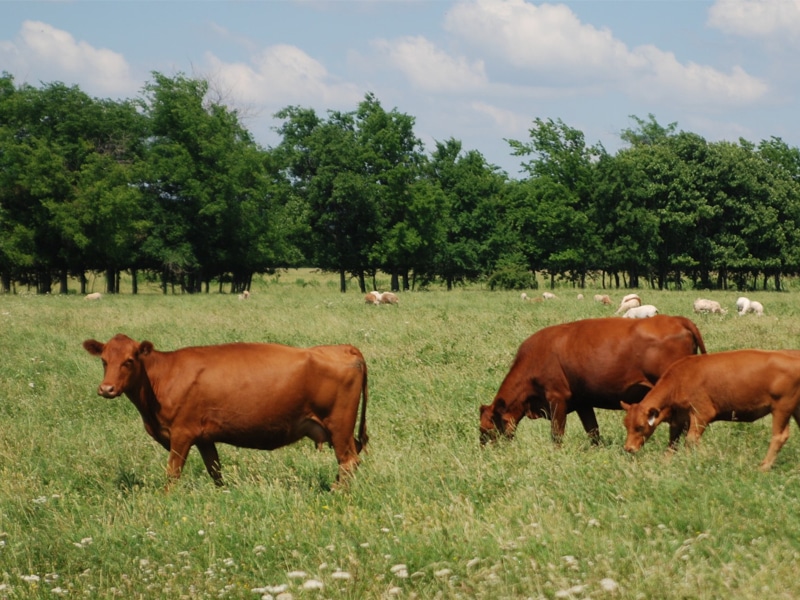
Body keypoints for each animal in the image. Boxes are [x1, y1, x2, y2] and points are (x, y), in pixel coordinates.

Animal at [83, 334, 369, 488]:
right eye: (104, 361)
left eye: (129, 361)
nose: (106, 388)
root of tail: (344, 348)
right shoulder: (204, 437)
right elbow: (215, 470)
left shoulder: (182, 433)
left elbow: (173, 472)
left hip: (340, 425)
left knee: (348, 461)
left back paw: (337, 492)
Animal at [479, 315, 706, 446]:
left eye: (488, 430)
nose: (485, 451)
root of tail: (676, 319)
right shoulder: (583, 402)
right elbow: (593, 431)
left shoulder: (557, 398)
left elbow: (557, 434)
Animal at [621, 350, 800, 471]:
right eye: (626, 426)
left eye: (640, 427)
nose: (629, 448)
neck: (680, 378)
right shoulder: (679, 418)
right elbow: (673, 443)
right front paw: (667, 462)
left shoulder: (702, 413)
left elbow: (691, 439)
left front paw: (699, 458)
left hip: (781, 408)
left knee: (779, 436)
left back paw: (764, 466)